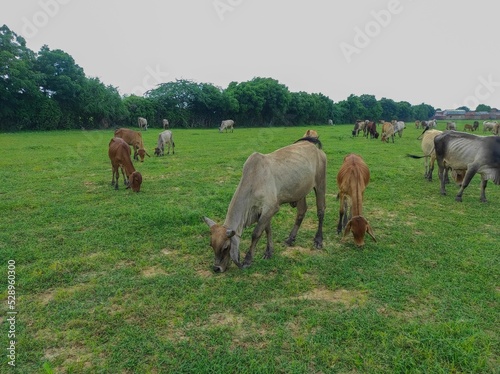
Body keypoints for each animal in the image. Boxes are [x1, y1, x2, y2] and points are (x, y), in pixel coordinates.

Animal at [202, 137, 324, 272]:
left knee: (321, 211)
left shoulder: (271, 208)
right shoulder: (262, 212)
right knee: (301, 212)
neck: (253, 182)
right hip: (300, 192)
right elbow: (267, 230)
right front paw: (269, 252)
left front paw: (248, 260)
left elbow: (256, 233)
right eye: (211, 245)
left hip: (320, 184)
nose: (216, 268)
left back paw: (318, 240)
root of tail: (314, 147)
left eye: (225, 247)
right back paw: (290, 239)